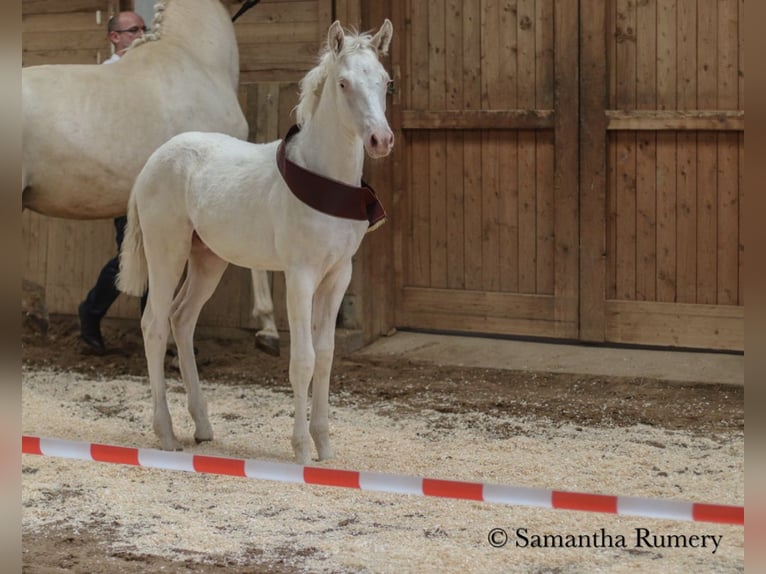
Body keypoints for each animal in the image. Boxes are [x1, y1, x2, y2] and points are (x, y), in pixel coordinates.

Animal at [121, 20, 396, 466]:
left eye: (386, 82)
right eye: (343, 83)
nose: (380, 140)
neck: (326, 180)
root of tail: (152, 161)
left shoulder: (338, 274)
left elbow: (326, 356)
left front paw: (325, 446)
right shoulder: (300, 276)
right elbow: (303, 360)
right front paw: (301, 450)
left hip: (207, 259)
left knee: (182, 319)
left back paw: (203, 427)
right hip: (167, 252)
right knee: (154, 324)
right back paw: (166, 434)